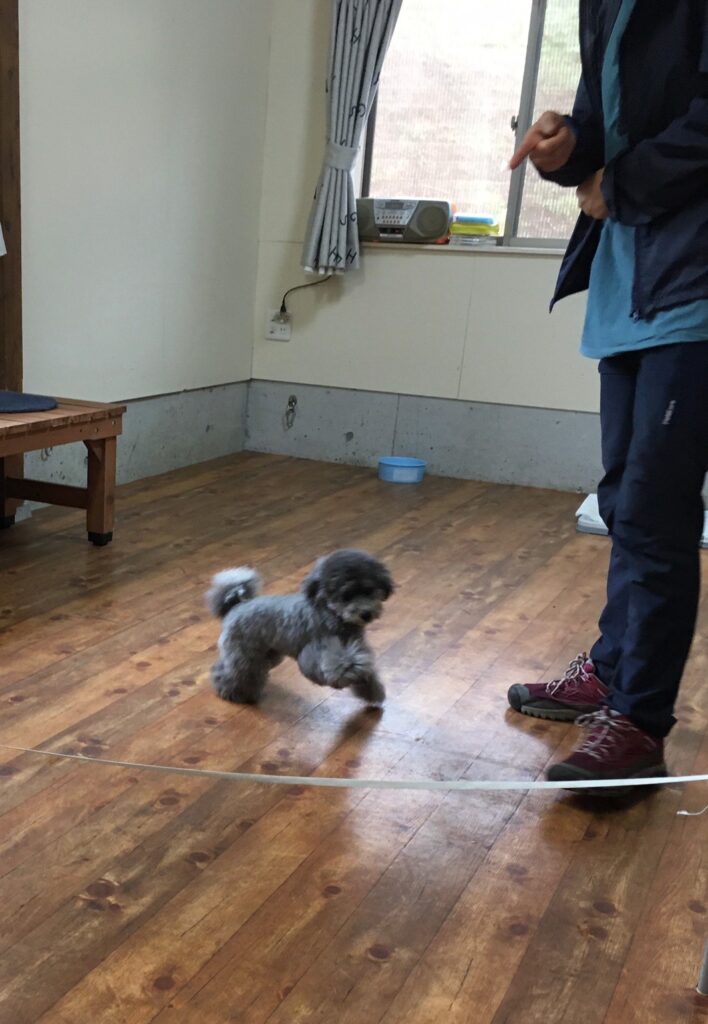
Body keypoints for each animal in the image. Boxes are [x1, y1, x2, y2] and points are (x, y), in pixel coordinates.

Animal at [206, 549, 393, 706]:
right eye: (346, 596)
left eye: (369, 591)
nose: (366, 614)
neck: (332, 614)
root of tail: (236, 606)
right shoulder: (315, 651)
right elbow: (338, 662)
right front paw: (350, 670)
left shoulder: (357, 645)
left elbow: (367, 669)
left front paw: (371, 690)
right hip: (244, 653)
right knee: (234, 673)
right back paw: (232, 692)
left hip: (267, 653)